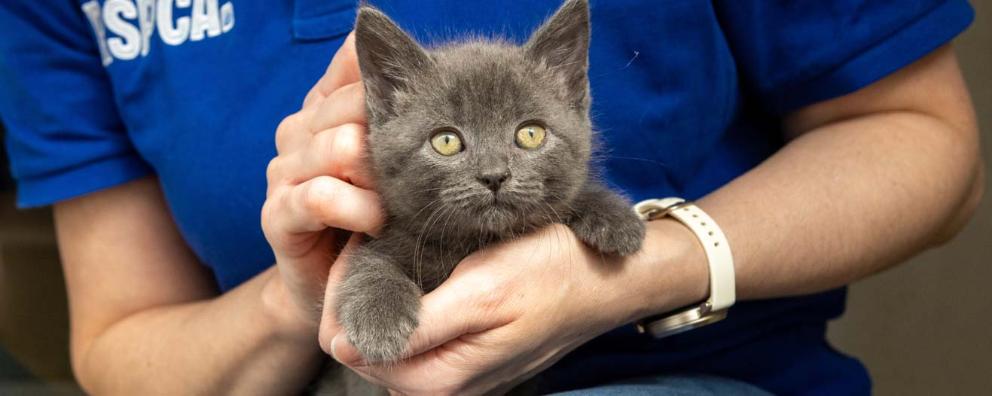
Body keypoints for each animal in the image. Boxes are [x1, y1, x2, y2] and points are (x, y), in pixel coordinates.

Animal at [336, 0, 644, 366]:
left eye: (530, 134)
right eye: (446, 141)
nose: (494, 175)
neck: (475, 242)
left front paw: (615, 217)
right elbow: (369, 259)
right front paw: (378, 316)